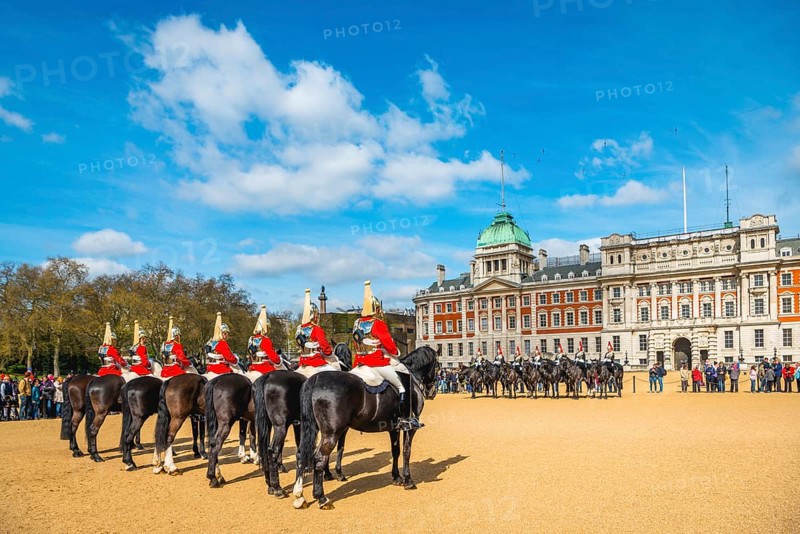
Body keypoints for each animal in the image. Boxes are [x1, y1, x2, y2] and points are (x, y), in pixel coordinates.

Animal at [254, 343, 353, 499]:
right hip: (281, 426)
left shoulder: (302, 425)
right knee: (272, 451)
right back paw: (277, 488)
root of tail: (268, 376)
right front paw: (336, 473)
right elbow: (338, 449)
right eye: (348, 353)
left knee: (264, 449)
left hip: (267, 425)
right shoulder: (338, 429)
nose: (349, 365)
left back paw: (270, 485)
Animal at [290, 345, 439, 509]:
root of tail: (315, 379)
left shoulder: (393, 428)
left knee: (301, 455)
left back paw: (299, 496)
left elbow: (396, 451)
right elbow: (406, 451)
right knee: (319, 458)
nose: (432, 392)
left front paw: (396, 477)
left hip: (313, 430)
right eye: (437, 366)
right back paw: (322, 498)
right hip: (331, 433)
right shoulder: (410, 428)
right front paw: (408, 480)